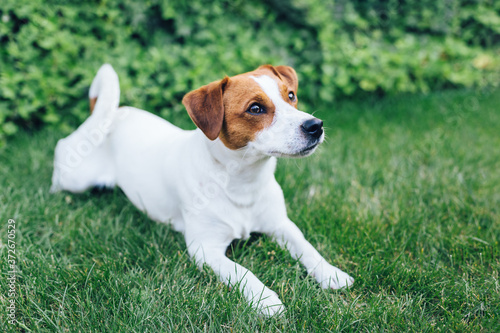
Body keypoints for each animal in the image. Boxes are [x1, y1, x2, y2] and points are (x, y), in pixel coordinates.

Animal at [50, 63, 354, 316]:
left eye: (291, 95)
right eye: (255, 108)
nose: (315, 125)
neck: (242, 181)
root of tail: (107, 115)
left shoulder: (281, 224)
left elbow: (307, 247)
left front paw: (331, 273)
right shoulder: (205, 249)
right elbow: (242, 271)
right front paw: (266, 299)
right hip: (75, 176)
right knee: (61, 152)